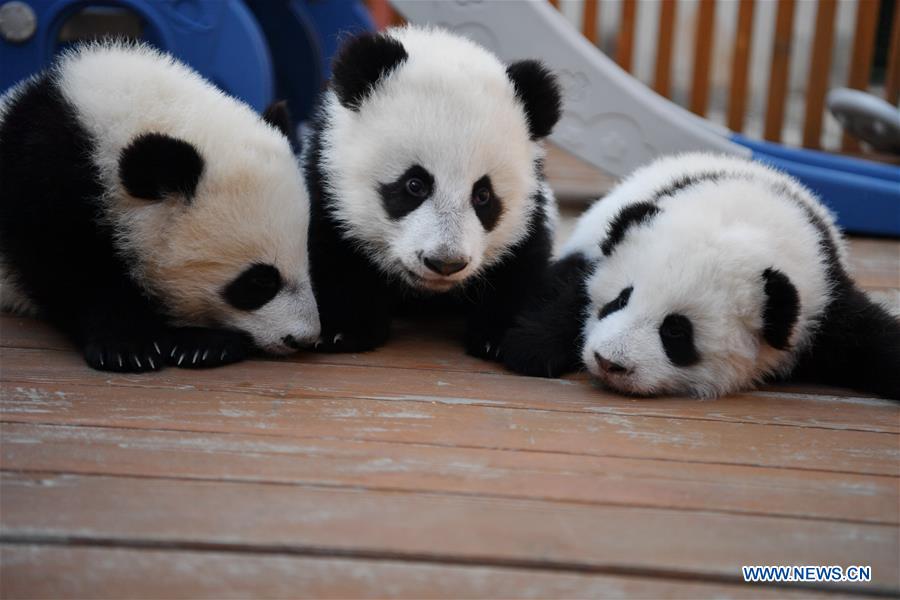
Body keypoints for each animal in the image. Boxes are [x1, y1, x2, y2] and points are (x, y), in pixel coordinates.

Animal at [0, 42, 320, 373]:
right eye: (260, 280)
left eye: (308, 261)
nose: (302, 338)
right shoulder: (44, 175)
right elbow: (67, 266)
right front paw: (128, 345)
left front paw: (203, 344)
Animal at [303, 26, 562, 358]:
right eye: (415, 185)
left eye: (483, 196)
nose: (445, 263)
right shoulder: (328, 182)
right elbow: (335, 251)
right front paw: (345, 331)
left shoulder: (529, 211)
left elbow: (520, 263)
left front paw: (501, 338)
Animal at [502, 153, 900, 399]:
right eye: (619, 300)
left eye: (676, 331)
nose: (609, 362)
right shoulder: (598, 251)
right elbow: (572, 289)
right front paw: (530, 346)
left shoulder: (822, 292)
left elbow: (866, 335)